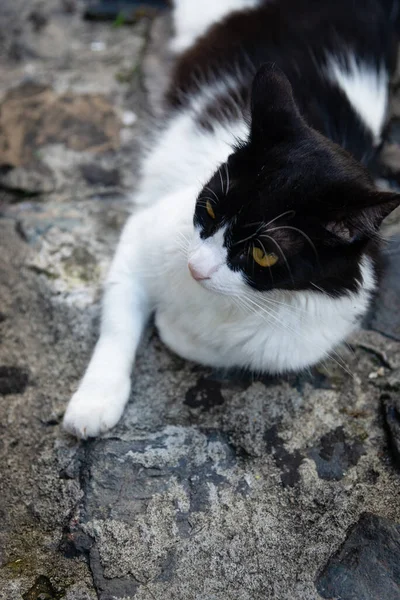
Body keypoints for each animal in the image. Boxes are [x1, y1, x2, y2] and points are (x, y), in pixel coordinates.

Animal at [62, 0, 400, 436]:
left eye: (264, 254)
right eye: (208, 210)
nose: (196, 268)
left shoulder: (308, 336)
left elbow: (226, 350)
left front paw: (172, 325)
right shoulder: (143, 234)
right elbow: (118, 327)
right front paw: (94, 402)